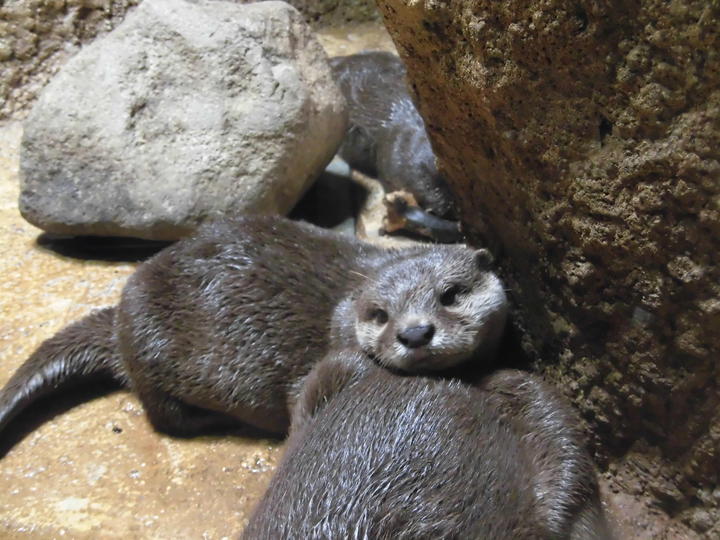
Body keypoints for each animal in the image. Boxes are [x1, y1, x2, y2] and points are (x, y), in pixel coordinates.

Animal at [0, 215, 506, 442]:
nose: (415, 333)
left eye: (450, 294)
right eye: (380, 314)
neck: (340, 316)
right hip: (149, 354)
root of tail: (120, 320)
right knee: (164, 416)